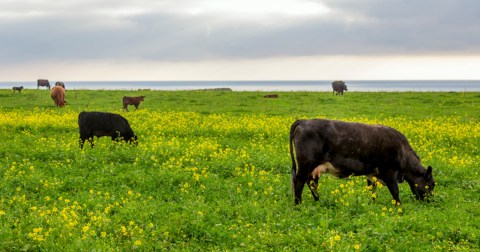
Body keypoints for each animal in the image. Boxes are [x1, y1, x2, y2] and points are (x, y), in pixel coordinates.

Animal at [288, 118, 436, 205]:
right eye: (431, 185)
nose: (430, 201)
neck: (402, 151)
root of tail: (303, 120)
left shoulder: (372, 174)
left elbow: (372, 190)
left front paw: (373, 203)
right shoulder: (389, 173)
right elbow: (395, 191)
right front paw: (398, 206)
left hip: (314, 168)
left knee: (312, 183)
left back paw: (317, 201)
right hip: (305, 164)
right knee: (299, 181)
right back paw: (298, 204)